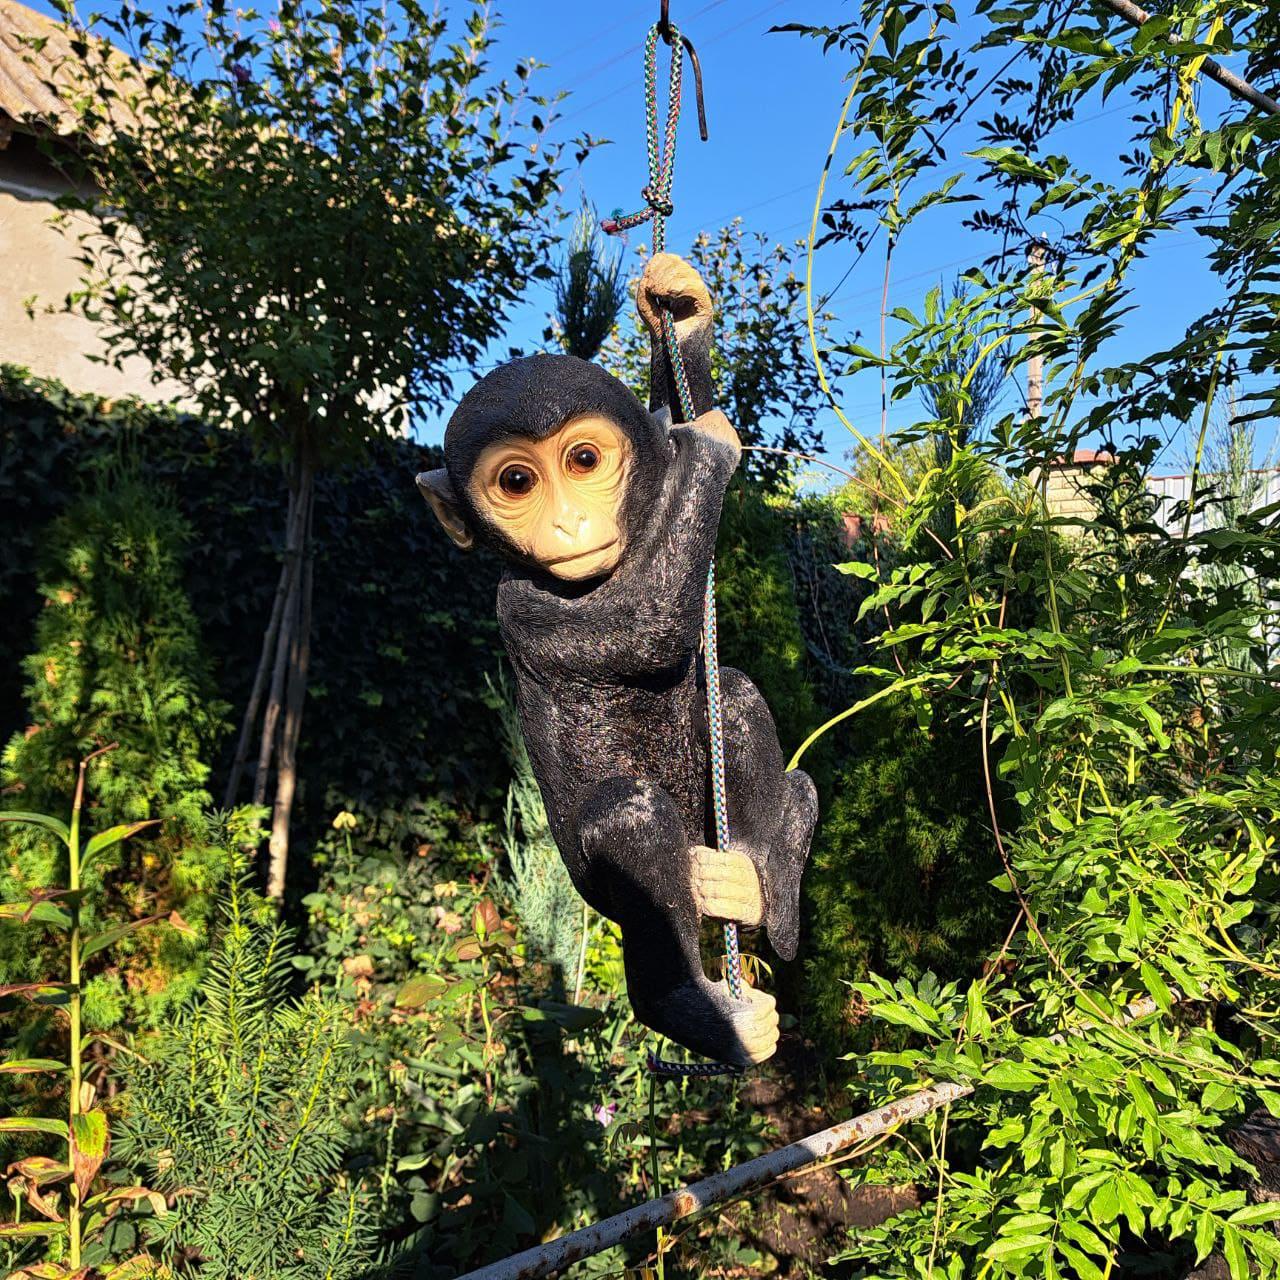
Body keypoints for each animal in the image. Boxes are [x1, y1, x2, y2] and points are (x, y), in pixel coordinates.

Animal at [418, 254, 816, 1066]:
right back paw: (697, 1010)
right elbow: (648, 627)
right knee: (628, 822)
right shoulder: (525, 610)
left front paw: (682, 311)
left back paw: (773, 871)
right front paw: (710, 446)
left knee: (732, 697)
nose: (570, 522)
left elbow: (663, 437)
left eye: (584, 460)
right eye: (517, 482)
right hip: (599, 883)